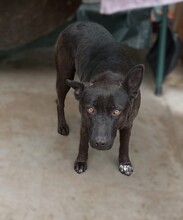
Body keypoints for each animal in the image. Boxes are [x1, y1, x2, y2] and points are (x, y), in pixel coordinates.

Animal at [55, 21, 144, 175]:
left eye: (116, 111)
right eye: (90, 109)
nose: (100, 142)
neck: (110, 77)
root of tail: (77, 22)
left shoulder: (128, 123)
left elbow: (124, 145)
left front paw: (125, 163)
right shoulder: (85, 123)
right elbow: (83, 144)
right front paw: (81, 161)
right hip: (64, 76)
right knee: (59, 102)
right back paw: (62, 125)